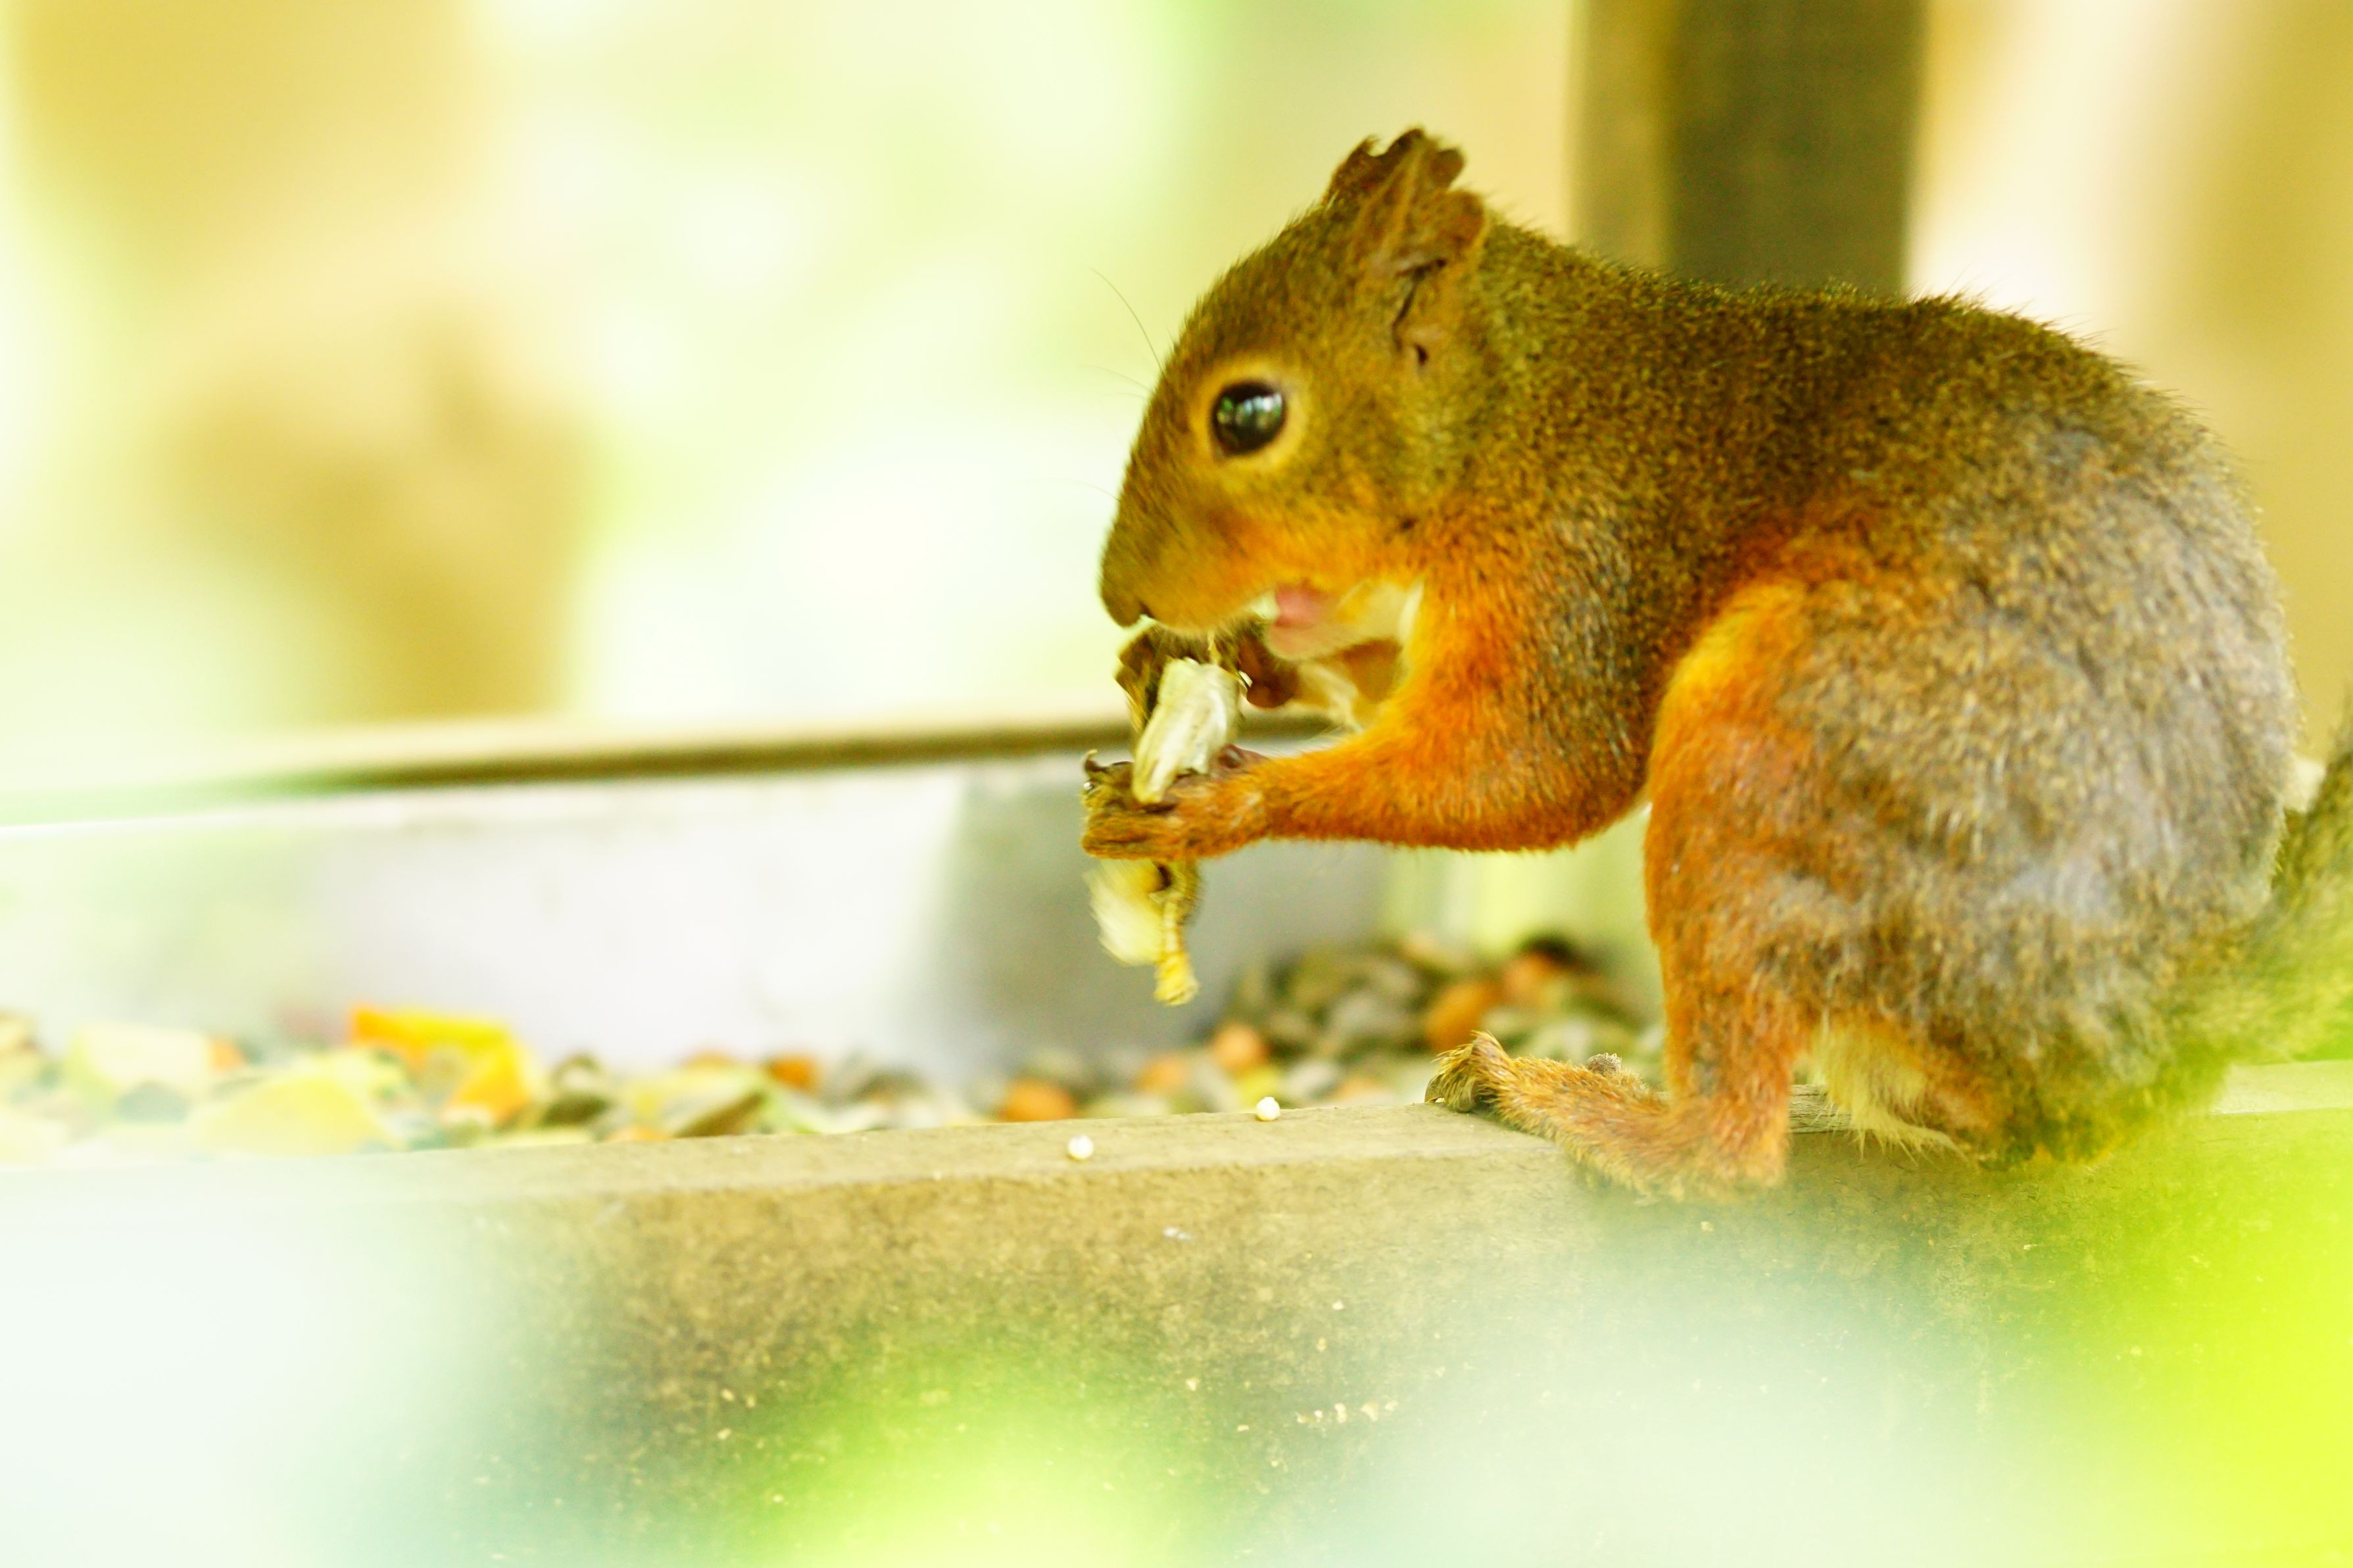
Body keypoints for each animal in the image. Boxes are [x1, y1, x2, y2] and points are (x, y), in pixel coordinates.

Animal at [1080, 128, 2353, 1198]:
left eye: (1248, 415)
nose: (1115, 593)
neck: (1518, 411)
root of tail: (2157, 1020)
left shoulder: (1580, 562)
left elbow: (1534, 770)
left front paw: (1221, 801)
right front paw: (1204, 660)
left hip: (1770, 764)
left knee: (1732, 1148)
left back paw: (1575, 1103)